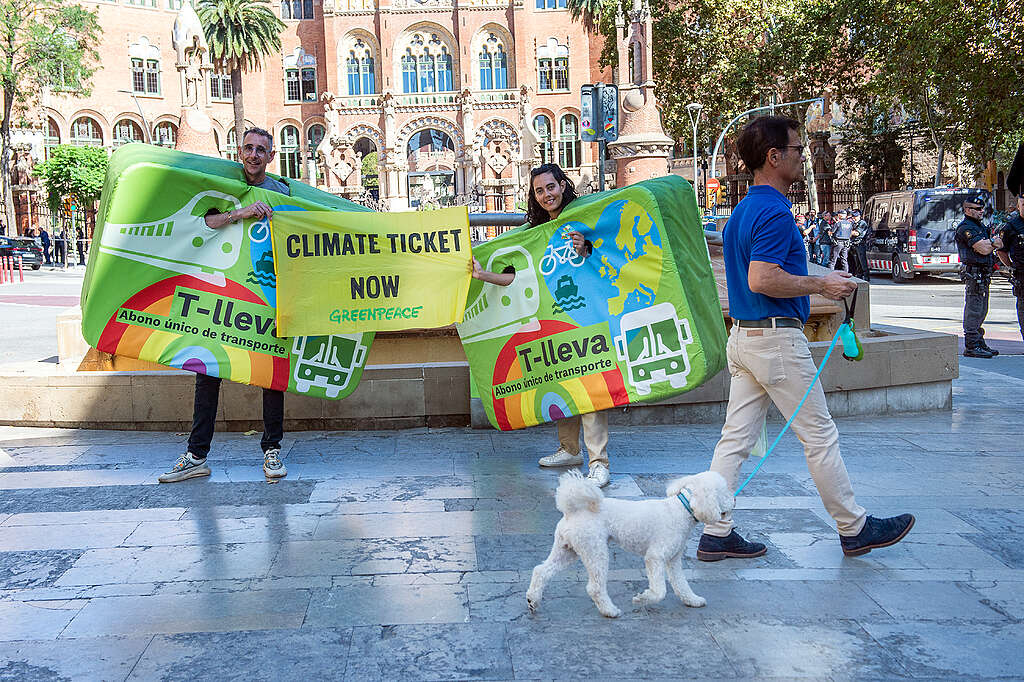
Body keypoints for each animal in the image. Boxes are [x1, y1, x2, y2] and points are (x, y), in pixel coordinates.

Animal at [524, 466, 733, 614]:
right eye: (724, 492)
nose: (734, 500)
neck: (681, 510)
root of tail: (573, 510)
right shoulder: (655, 557)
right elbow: (660, 591)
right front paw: (643, 598)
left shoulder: (673, 560)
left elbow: (681, 584)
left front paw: (693, 600)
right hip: (595, 550)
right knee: (595, 587)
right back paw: (609, 611)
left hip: (567, 549)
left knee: (541, 570)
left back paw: (533, 600)